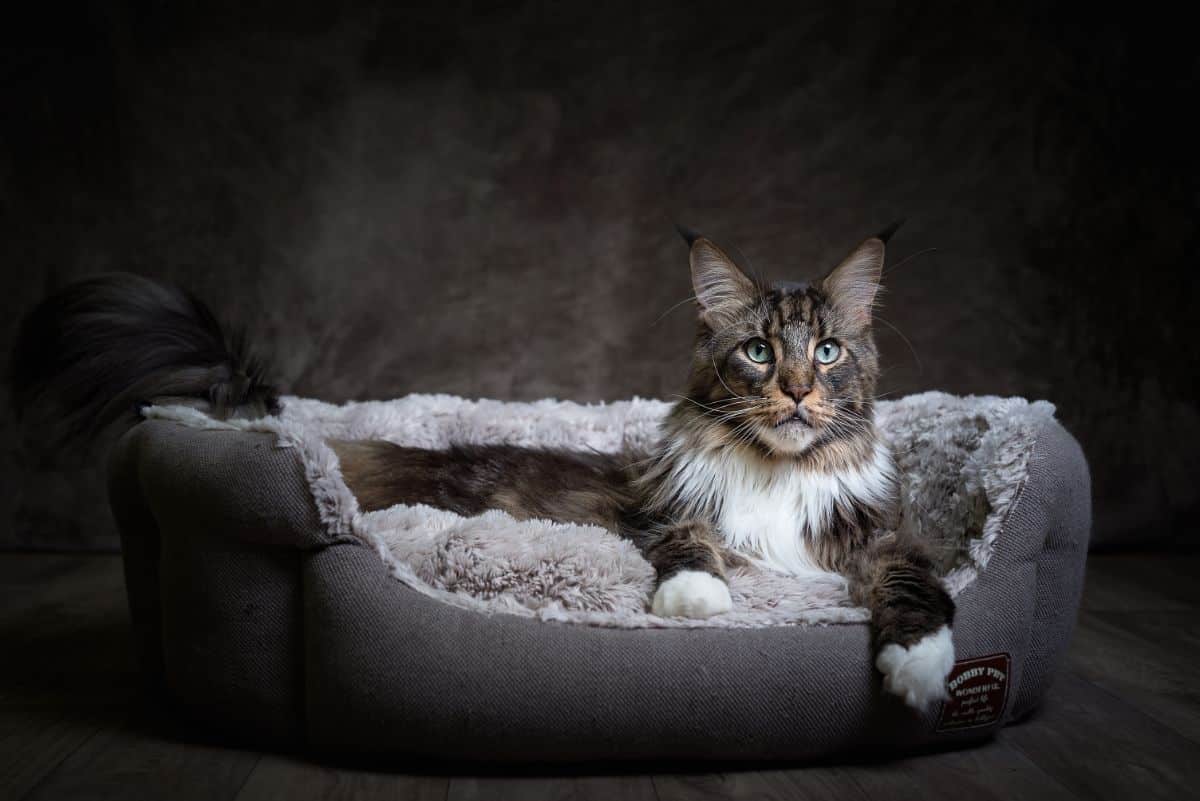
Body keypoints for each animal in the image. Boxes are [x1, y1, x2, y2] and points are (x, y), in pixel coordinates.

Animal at [7, 221, 945, 709]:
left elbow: (918, 582)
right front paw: (696, 599)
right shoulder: (659, 512)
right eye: (757, 351)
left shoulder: (883, 537)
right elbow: (691, 546)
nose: (796, 389)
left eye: (826, 351)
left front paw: (922, 671)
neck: (776, 471)